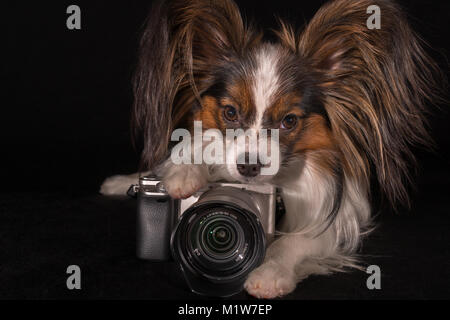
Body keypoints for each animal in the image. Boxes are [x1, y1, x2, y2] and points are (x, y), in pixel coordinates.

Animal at [100, 0, 442, 298]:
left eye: (289, 121)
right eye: (230, 113)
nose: (249, 166)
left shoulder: (337, 219)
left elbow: (294, 242)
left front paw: (270, 273)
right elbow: (195, 146)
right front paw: (185, 172)